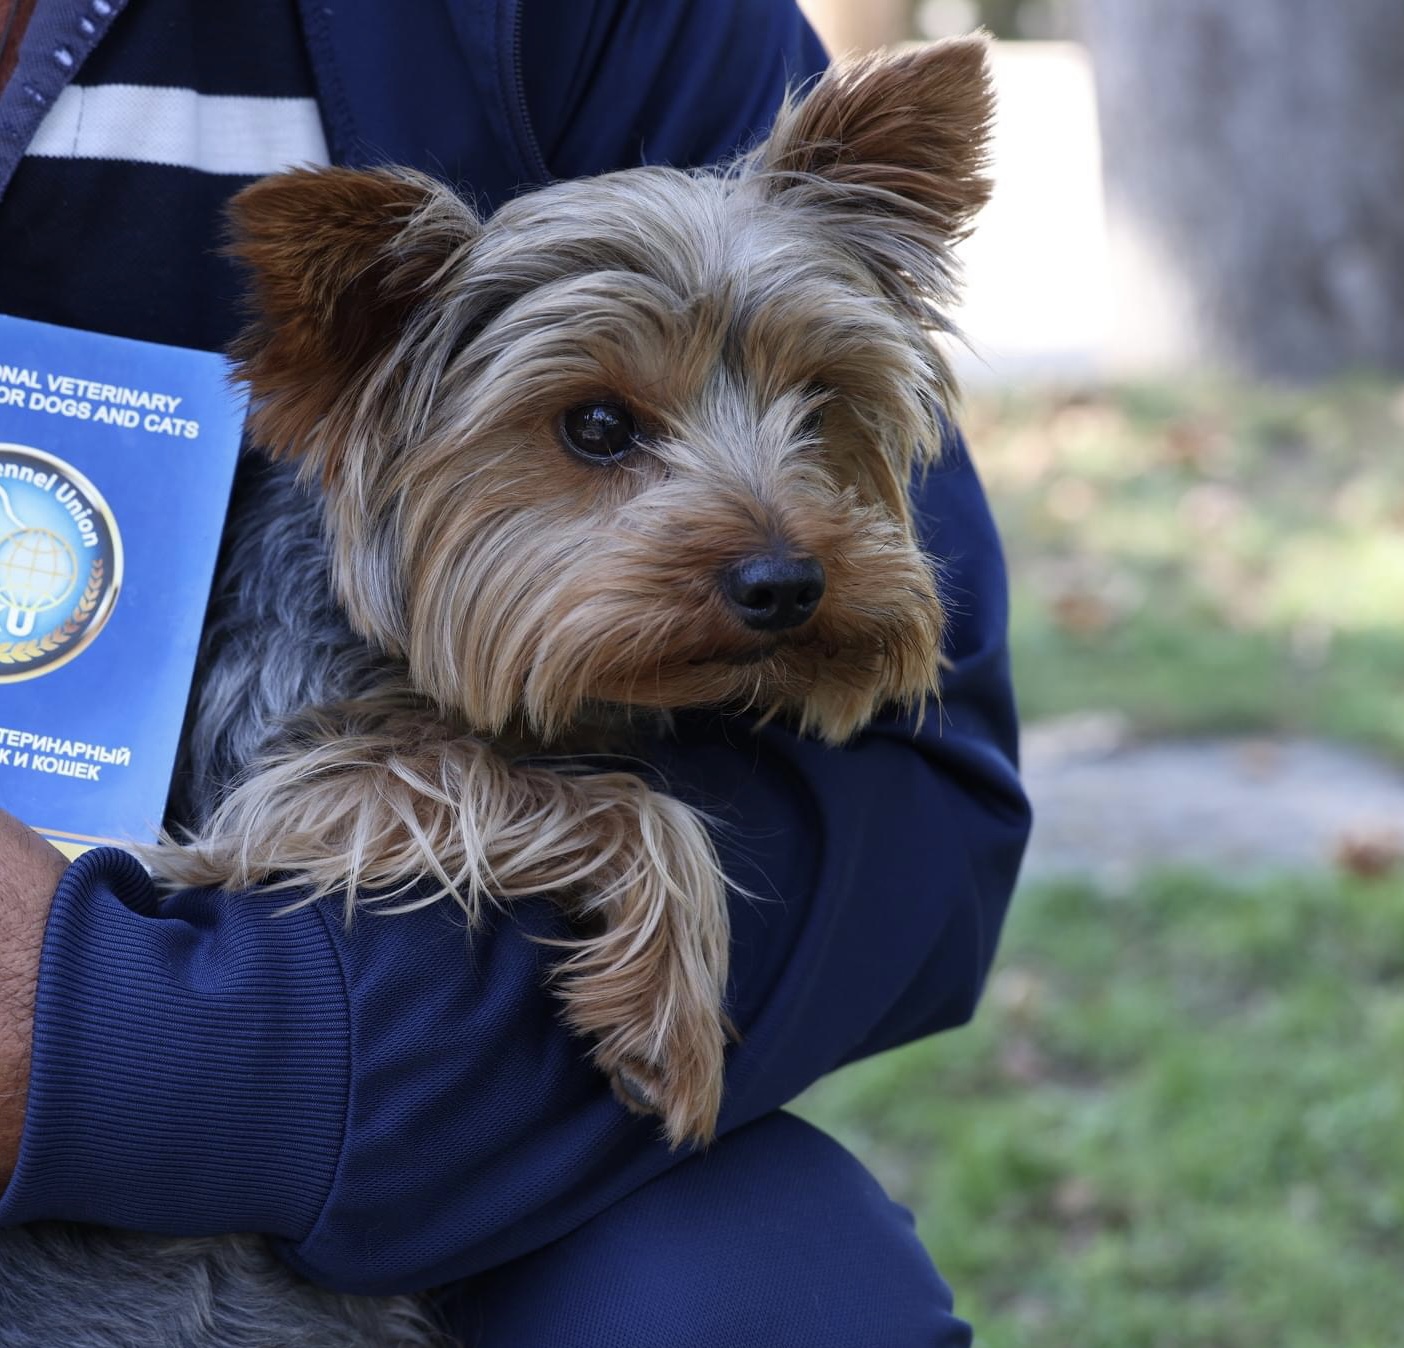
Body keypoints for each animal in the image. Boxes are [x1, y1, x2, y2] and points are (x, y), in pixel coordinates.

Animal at [0, 39, 999, 1348]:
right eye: (596, 425)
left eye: (822, 405)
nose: (786, 582)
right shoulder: (261, 796)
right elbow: (604, 798)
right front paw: (670, 1023)